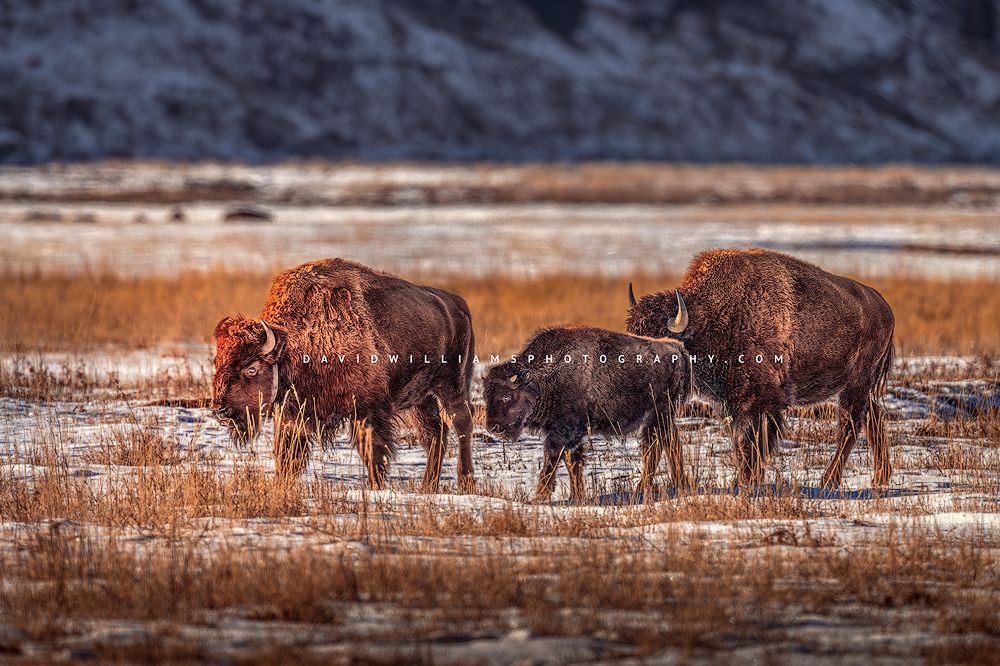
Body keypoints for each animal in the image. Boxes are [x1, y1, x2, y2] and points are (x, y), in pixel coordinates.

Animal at [211, 258, 476, 490]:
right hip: (421, 398)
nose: (220, 409)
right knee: (434, 434)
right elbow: (288, 457)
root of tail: (458, 305)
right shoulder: (293, 418)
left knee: (461, 423)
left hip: (452, 384)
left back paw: (465, 481)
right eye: (217, 361)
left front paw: (376, 487)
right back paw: (428, 486)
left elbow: (373, 452)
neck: (295, 347)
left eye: (251, 368)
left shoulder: (368, 412)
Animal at [484, 326, 691, 501]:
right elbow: (572, 463)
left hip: (658, 414)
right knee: (671, 443)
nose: (493, 427)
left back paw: (643, 488)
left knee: (654, 447)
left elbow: (552, 458)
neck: (542, 380)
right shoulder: (571, 435)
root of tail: (677, 348)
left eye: (506, 396)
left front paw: (540, 497)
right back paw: (680, 484)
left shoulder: (564, 431)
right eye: (486, 396)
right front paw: (576, 496)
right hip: (665, 416)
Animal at [626, 248, 895, 489]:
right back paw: (879, 477)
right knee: (873, 417)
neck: (715, 318)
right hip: (859, 388)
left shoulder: (760, 404)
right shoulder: (730, 405)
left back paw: (829, 481)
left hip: (856, 385)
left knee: (850, 427)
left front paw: (747, 481)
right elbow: (739, 442)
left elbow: (752, 443)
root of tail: (885, 307)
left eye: (658, 339)